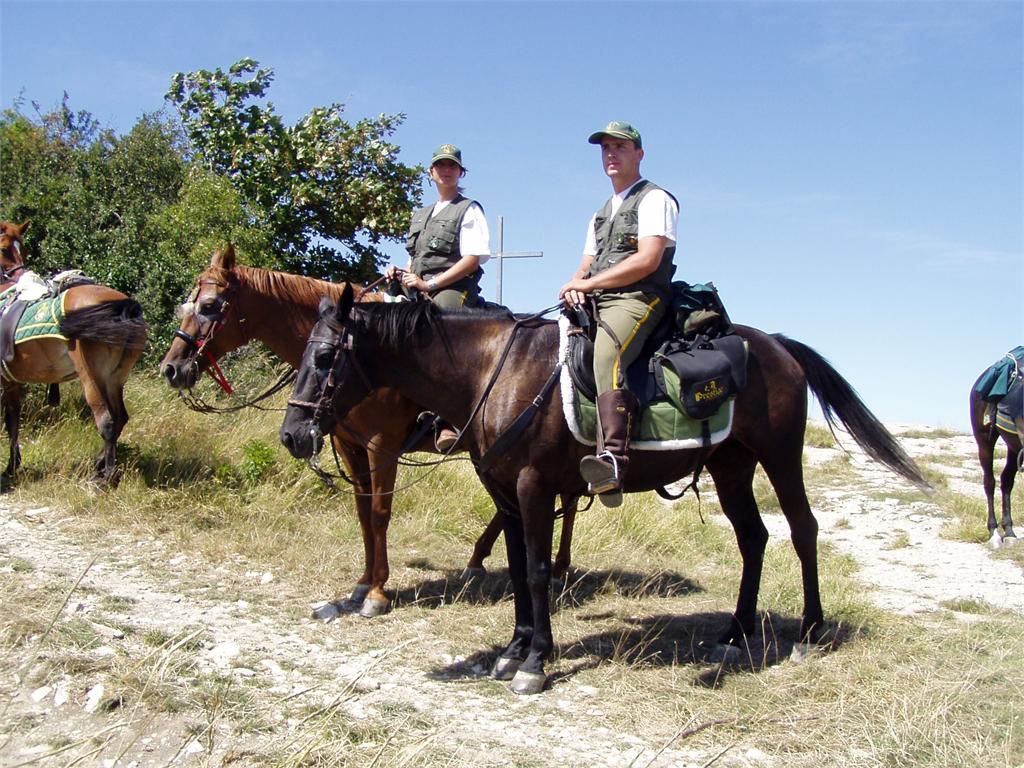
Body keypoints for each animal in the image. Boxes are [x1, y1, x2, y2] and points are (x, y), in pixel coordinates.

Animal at [0, 221, 147, 488]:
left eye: (20, 248)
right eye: (7, 248)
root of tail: (123, 306)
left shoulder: (5, 379)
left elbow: (10, 420)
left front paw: (10, 467)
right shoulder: (11, 380)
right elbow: (13, 419)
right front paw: (12, 466)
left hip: (92, 376)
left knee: (107, 421)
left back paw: (106, 476)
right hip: (115, 378)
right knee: (120, 418)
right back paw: (99, 464)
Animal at [159, 245, 576, 618]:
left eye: (209, 306)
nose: (171, 368)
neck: (372, 362)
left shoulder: (382, 447)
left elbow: (379, 513)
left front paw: (377, 592)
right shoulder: (351, 447)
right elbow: (362, 513)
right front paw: (362, 583)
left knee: (565, 501)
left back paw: (556, 570)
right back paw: (481, 560)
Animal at [280, 287, 928, 695]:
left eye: (327, 355)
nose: (292, 435)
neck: (494, 370)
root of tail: (774, 343)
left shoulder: (534, 488)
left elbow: (538, 572)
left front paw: (535, 662)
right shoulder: (505, 494)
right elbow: (517, 570)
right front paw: (511, 651)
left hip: (779, 457)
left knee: (803, 530)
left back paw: (810, 634)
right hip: (731, 466)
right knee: (753, 539)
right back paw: (735, 635)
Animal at [969, 372, 1023, 548]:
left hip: (1013, 446)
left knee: (1006, 480)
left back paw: (1009, 532)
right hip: (984, 438)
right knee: (989, 482)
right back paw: (994, 533)